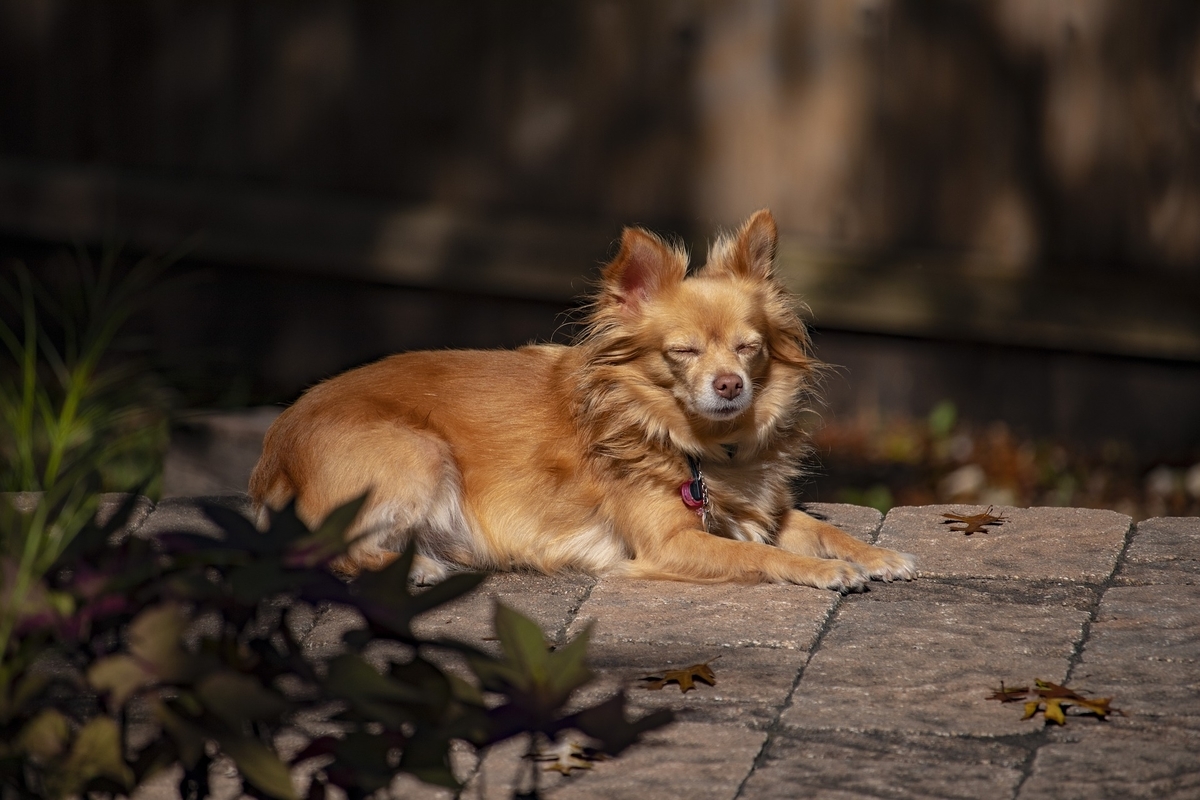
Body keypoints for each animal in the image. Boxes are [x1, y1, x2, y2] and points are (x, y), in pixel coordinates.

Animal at [246, 209, 916, 592]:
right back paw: (417, 568)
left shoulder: (758, 511)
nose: (730, 385)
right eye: (683, 352)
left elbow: (814, 526)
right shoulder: (672, 544)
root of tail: (273, 450)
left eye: (749, 350)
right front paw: (827, 572)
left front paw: (876, 553)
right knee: (323, 553)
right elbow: (760, 556)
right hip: (418, 453)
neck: (699, 448)